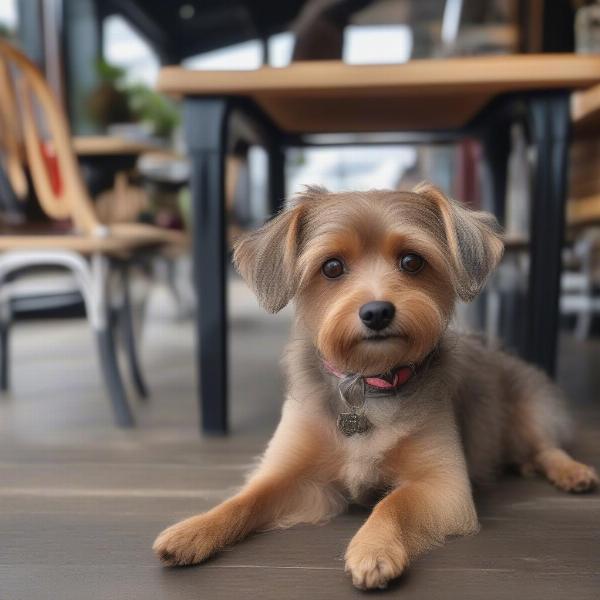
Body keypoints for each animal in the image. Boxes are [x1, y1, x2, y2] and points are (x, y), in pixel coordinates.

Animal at [154, 185, 596, 588]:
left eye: (412, 261)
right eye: (331, 267)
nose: (377, 312)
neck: (368, 383)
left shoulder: (444, 486)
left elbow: (392, 503)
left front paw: (373, 549)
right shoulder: (291, 475)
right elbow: (244, 500)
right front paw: (194, 530)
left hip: (532, 409)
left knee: (546, 447)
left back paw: (572, 472)